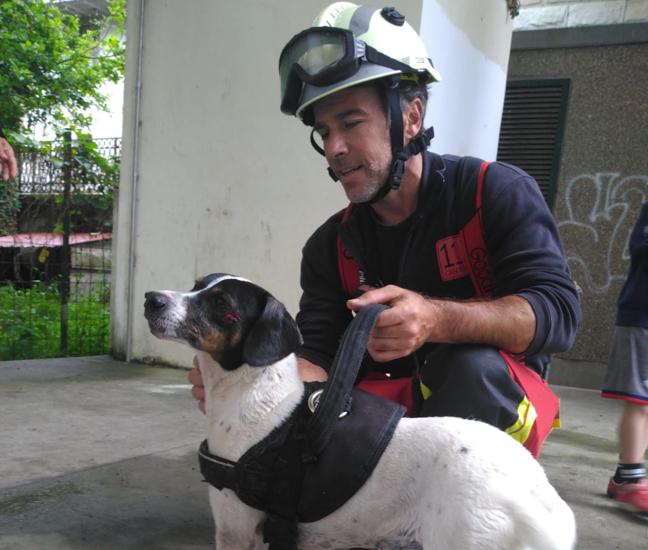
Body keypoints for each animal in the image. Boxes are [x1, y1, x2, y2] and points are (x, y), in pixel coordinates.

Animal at [144, 274, 576, 548]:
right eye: (197, 286)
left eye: (222, 304)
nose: (151, 299)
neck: (256, 397)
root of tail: (539, 498)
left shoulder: (237, 528)